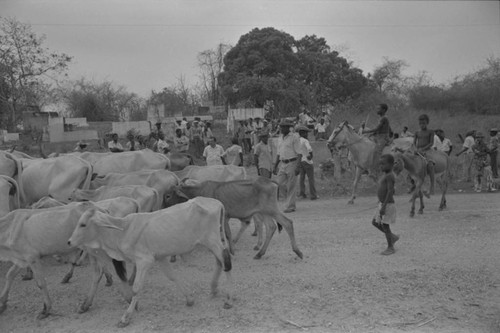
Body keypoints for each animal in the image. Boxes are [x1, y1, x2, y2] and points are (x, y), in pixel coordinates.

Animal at [68, 197, 234, 326]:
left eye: (83, 224)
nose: (69, 242)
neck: (123, 231)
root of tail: (217, 203)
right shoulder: (160, 257)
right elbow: (173, 277)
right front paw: (189, 299)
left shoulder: (144, 261)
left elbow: (136, 288)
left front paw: (125, 318)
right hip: (213, 242)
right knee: (219, 262)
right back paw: (213, 289)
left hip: (213, 241)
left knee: (226, 262)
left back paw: (228, 300)